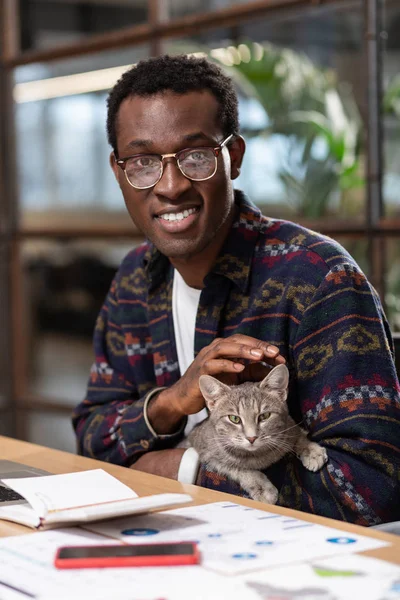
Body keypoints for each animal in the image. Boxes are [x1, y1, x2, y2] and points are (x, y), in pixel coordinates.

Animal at [186, 364, 326, 504]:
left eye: (265, 416)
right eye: (234, 418)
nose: (251, 437)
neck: (259, 455)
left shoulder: (289, 426)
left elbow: (299, 434)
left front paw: (311, 450)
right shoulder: (208, 453)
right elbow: (239, 468)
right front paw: (262, 487)